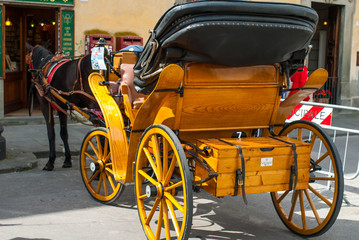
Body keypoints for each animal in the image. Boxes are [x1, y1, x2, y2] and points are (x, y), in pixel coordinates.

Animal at [26, 43, 100, 171]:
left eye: (29, 58)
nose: (31, 73)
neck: (44, 63)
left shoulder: (45, 104)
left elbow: (51, 133)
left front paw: (50, 161)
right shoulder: (61, 106)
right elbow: (64, 133)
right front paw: (67, 159)